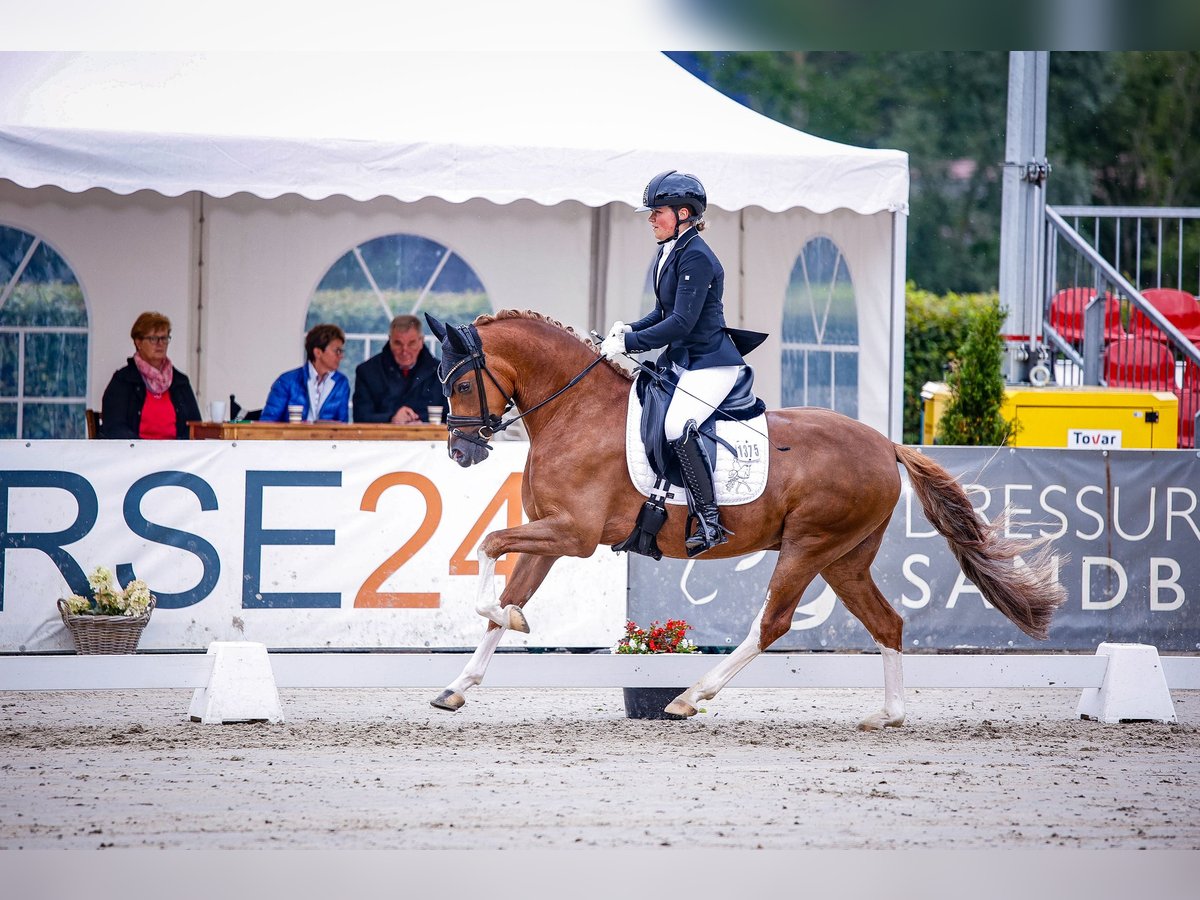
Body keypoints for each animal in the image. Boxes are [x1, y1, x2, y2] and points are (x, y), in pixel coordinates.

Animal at [427, 309, 1065, 724]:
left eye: (461, 383)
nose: (462, 452)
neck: (573, 410)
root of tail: (887, 446)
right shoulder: (552, 535)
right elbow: (507, 592)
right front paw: (459, 686)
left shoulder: (573, 534)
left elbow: (488, 547)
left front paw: (507, 621)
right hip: (844, 559)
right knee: (887, 623)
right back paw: (889, 715)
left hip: (808, 547)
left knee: (773, 624)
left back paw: (689, 698)